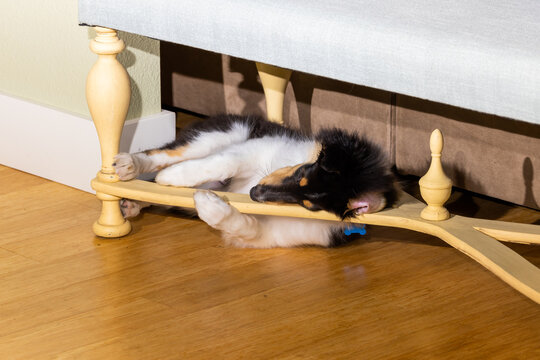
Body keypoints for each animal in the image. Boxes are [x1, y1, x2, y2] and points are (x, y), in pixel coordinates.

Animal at [113, 114, 396, 248]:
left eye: (308, 206)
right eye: (301, 173)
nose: (254, 193)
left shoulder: (278, 232)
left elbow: (244, 225)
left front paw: (209, 206)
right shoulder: (255, 148)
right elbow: (222, 163)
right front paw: (171, 177)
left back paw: (132, 203)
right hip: (220, 134)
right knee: (164, 155)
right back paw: (131, 166)